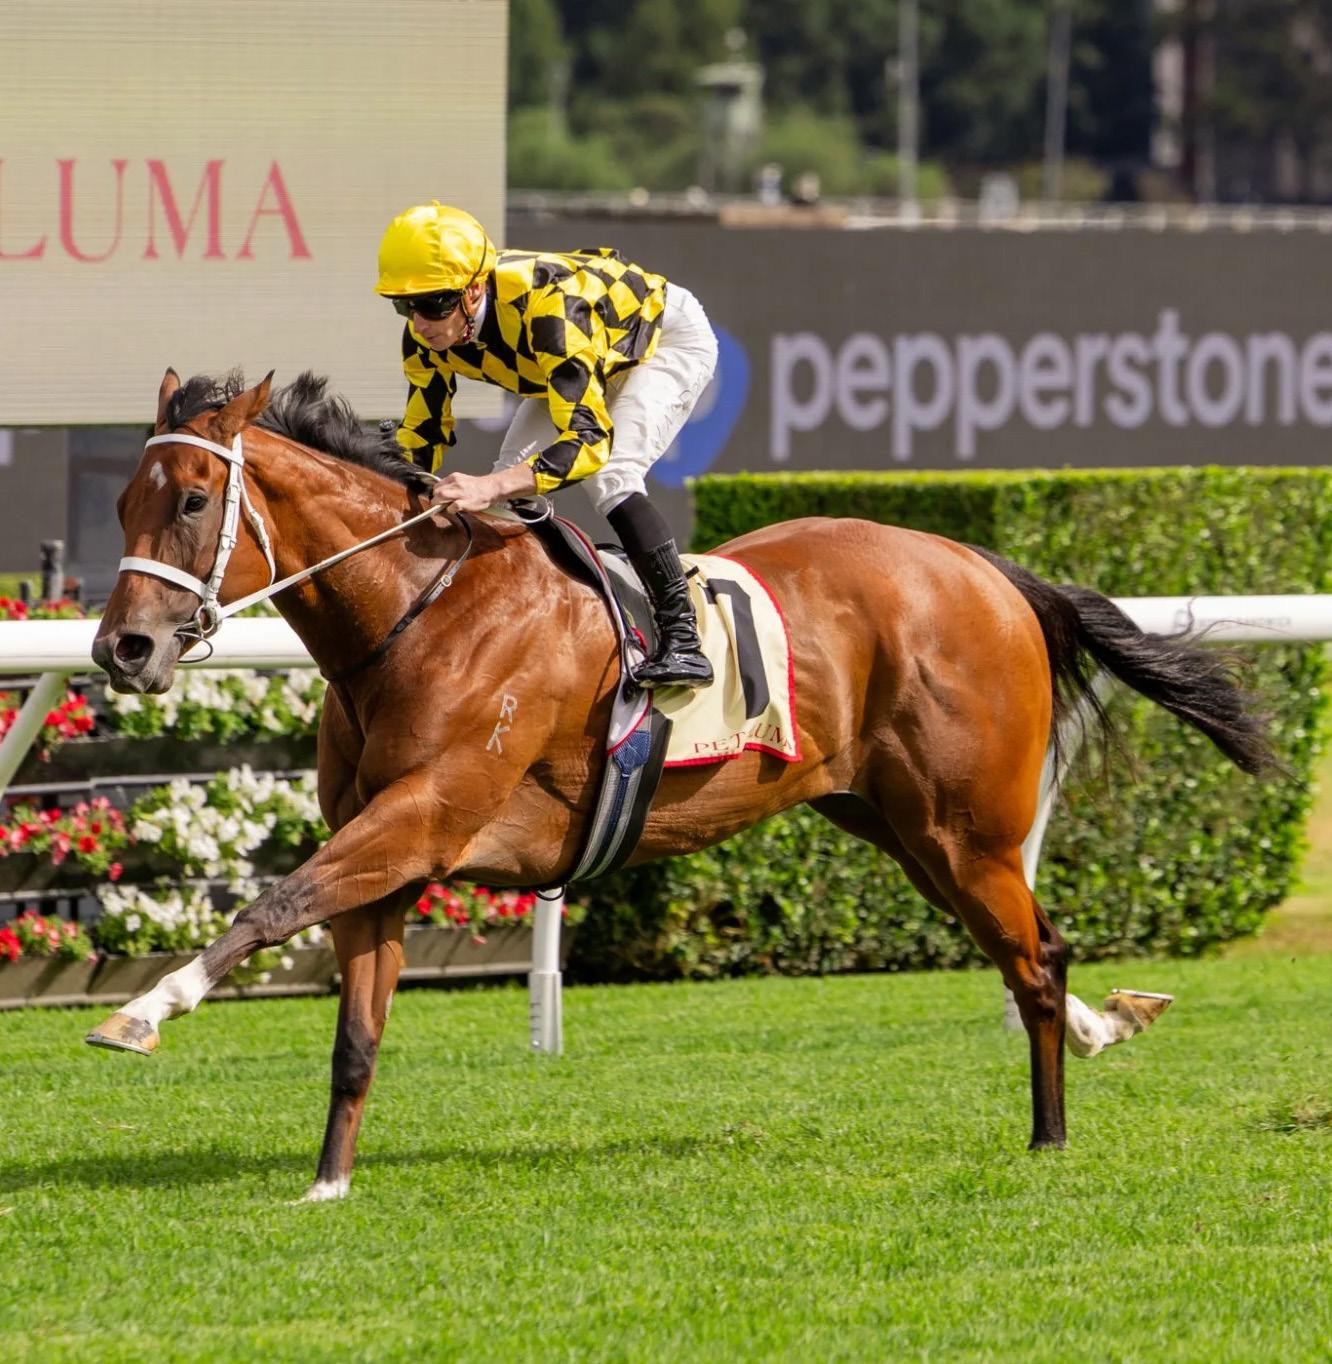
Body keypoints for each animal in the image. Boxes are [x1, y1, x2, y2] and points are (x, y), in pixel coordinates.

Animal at [86, 368, 1274, 1201]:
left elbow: (270, 902)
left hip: (964, 828)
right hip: (900, 828)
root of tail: (990, 567)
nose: (122, 649)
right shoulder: (389, 858)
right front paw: (328, 1183)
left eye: (192, 499)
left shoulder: (421, 818)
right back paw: (1104, 1027)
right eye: (124, 499)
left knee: (1031, 958)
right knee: (1032, 946)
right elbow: (355, 1034)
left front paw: (141, 1011)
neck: (421, 607)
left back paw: (1049, 1134)